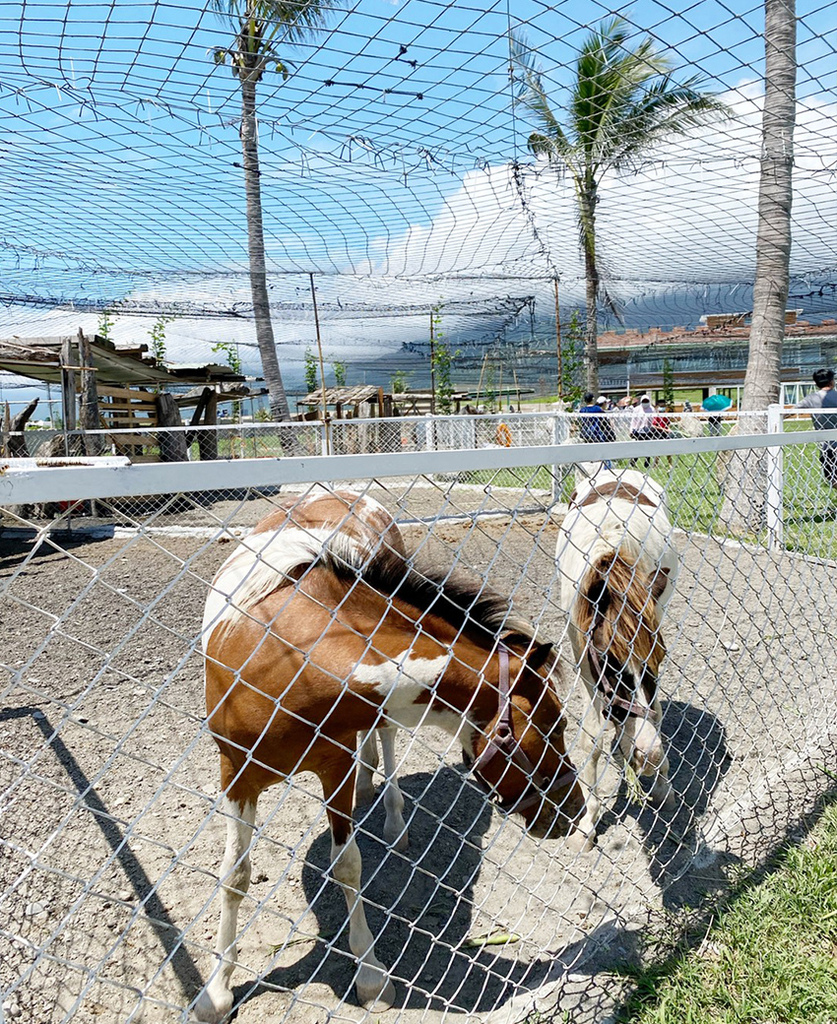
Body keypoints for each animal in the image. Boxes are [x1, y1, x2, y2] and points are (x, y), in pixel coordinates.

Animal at [195, 491, 581, 1019]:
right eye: (553, 726)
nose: (575, 809)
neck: (287, 661)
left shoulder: (333, 768)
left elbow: (347, 866)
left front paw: (372, 977)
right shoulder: (236, 773)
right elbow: (235, 877)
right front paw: (216, 990)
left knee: (387, 739)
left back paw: (394, 818)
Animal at [553, 468, 680, 847]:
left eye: (660, 660)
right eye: (608, 661)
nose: (648, 756)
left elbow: (655, 712)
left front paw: (663, 784)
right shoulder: (583, 660)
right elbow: (592, 739)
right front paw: (588, 821)